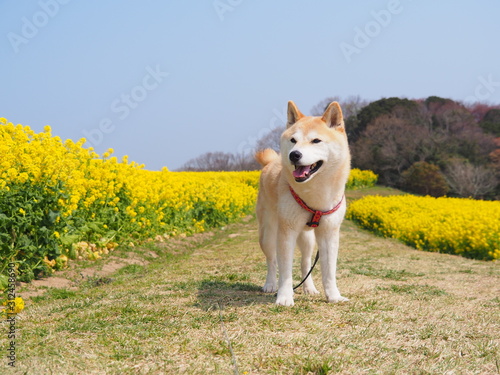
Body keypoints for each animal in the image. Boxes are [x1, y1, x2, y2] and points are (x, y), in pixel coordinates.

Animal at [256, 101, 350, 306]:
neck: (316, 195)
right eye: (293, 140)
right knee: (271, 260)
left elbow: (329, 271)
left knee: (305, 262)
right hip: (268, 234)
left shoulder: (329, 232)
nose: (294, 155)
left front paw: (334, 296)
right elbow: (285, 271)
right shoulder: (287, 231)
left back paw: (309, 288)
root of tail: (271, 162)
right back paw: (270, 284)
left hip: (307, 238)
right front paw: (284, 297)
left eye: (316, 141)